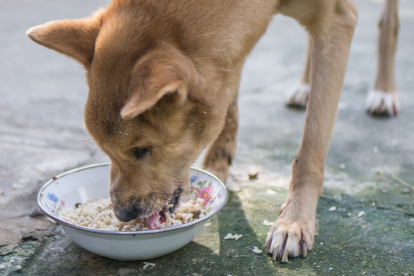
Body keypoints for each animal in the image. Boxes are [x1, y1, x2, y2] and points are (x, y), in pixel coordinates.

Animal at [28, 0, 360, 260]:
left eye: (142, 150)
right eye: (106, 151)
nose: (122, 215)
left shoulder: (338, 18)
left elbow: (312, 144)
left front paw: (293, 222)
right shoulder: (232, 53)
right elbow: (228, 106)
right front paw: (218, 167)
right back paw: (304, 86)